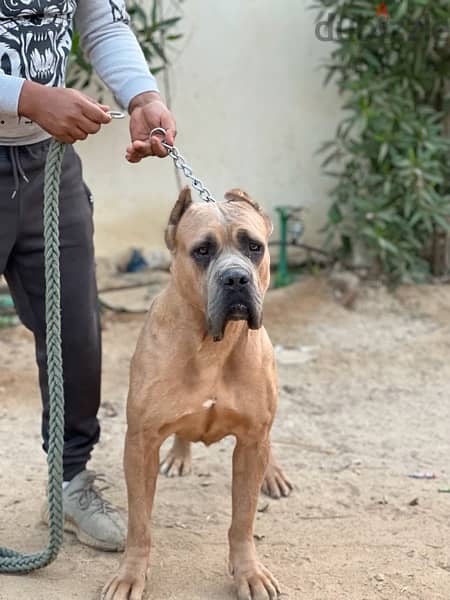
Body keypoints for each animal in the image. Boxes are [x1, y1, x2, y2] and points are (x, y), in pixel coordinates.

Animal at [102, 188, 292, 600]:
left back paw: (273, 473)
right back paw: (178, 455)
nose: (236, 278)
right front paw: (130, 574)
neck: (211, 345)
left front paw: (249, 572)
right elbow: (139, 523)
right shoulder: (140, 443)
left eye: (254, 247)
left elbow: (243, 519)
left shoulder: (251, 441)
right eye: (202, 250)